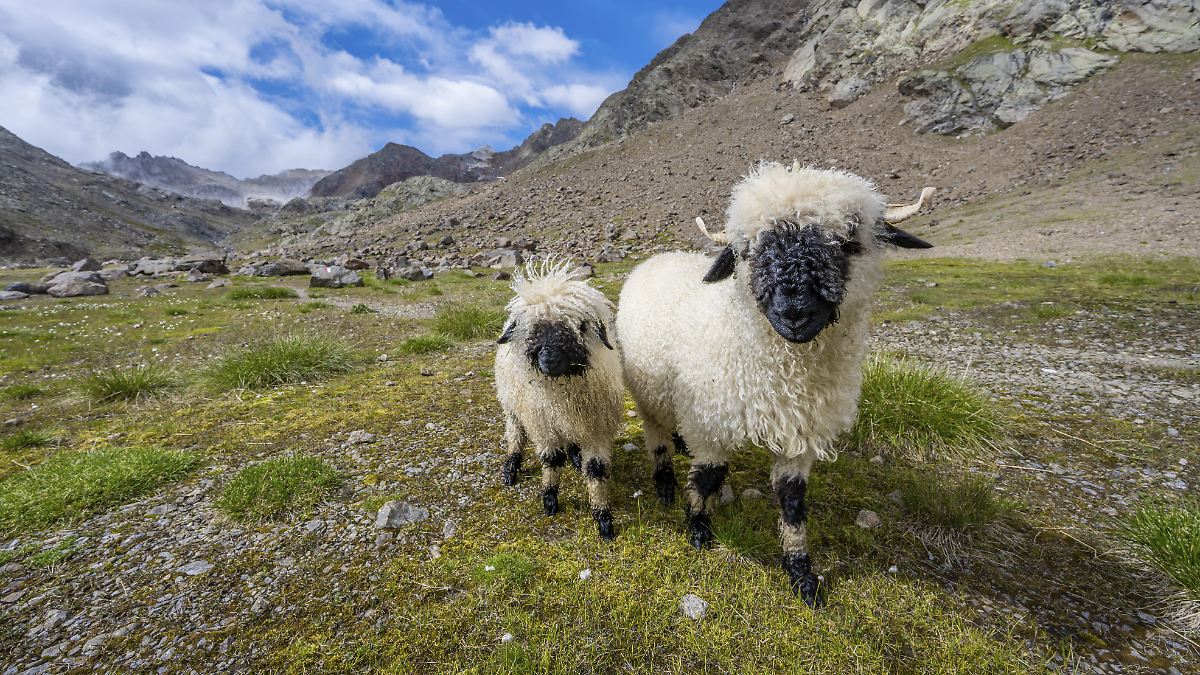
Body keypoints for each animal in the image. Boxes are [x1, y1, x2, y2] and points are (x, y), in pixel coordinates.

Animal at [494, 259, 624, 540]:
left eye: (580, 326)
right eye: (532, 329)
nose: (549, 360)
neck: (564, 395)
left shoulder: (595, 428)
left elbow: (596, 470)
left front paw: (603, 519)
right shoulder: (544, 426)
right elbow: (551, 460)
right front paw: (550, 499)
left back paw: (575, 456)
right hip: (511, 406)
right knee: (515, 435)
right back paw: (511, 468)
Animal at [615, 161, 934, 604]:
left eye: (847, 244)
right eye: (747, 251)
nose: (793, 313)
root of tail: (657, 258)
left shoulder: (801, 429)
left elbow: (792, 501)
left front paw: (801, 572)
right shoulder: (710, 420)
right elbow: (709, 476)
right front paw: (698, 528)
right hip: (648, 390)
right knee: (656, 433)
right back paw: (664, 480)